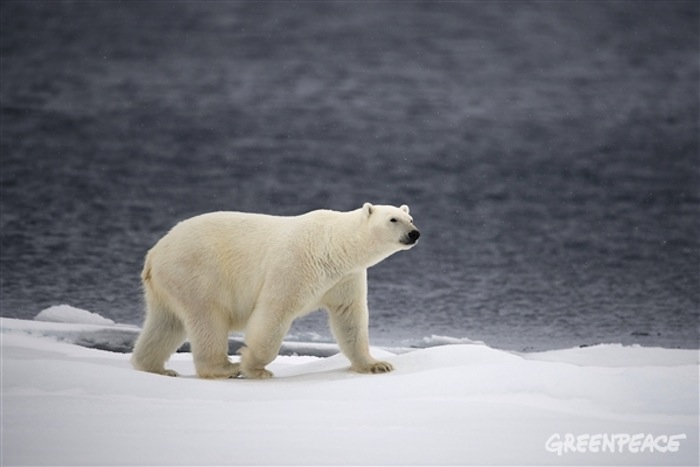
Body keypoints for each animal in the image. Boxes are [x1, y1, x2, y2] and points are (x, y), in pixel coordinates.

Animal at [130, 203, 422, 378]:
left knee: (166, 323)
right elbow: (275, 310)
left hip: (169, 284)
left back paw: (155, 368)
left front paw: (377, 364)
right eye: (393, 219)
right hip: (197, 272)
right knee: (207, 318)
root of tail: (154, 254)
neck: (333, 246)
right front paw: (253, 365)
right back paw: (225, 367)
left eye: (410, 217)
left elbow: (350, 317)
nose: (414, 233)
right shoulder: (295, 265)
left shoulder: (344, 279)